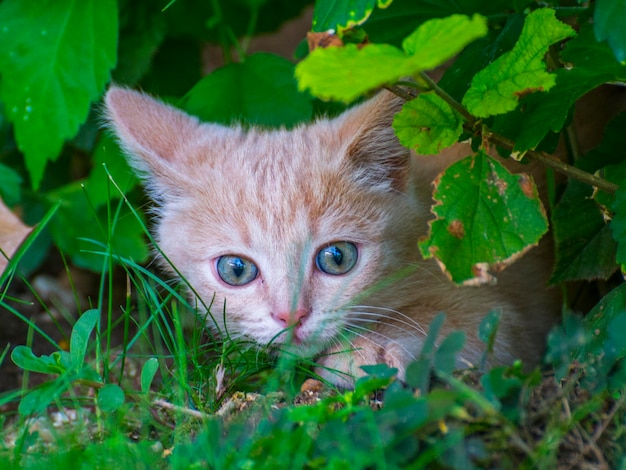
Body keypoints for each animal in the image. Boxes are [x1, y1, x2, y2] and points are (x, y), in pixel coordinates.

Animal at [105, 86, 560, 388]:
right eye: (236, 270)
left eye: (337, 258)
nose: (290, 316)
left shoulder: (516, 307)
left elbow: (471, 320)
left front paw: (369, 348)